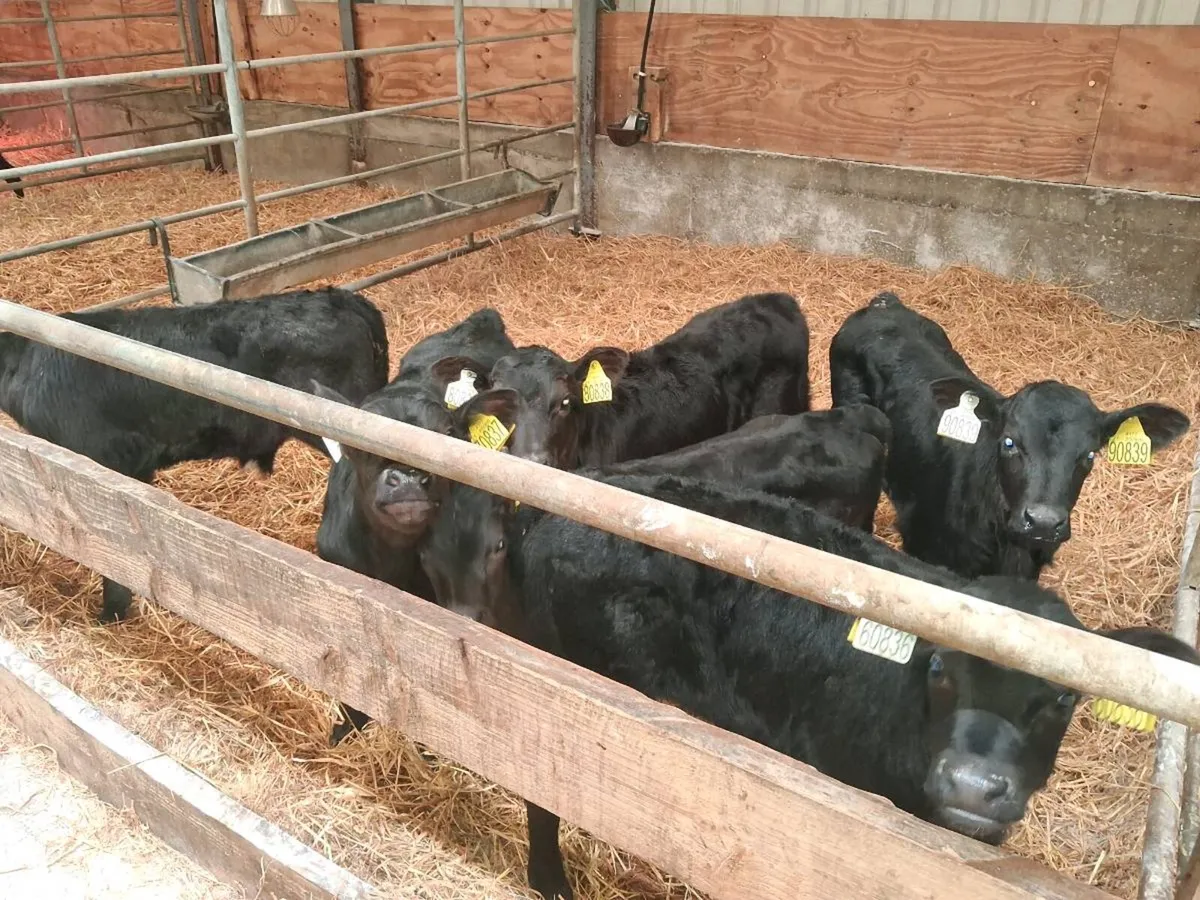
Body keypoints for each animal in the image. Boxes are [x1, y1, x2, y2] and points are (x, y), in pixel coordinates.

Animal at [424, 472, 1198, 900]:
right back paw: (551, 881)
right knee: (541, 781)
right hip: (559, 681)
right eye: (940, 669)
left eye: (1064, 697)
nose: (974, 785)